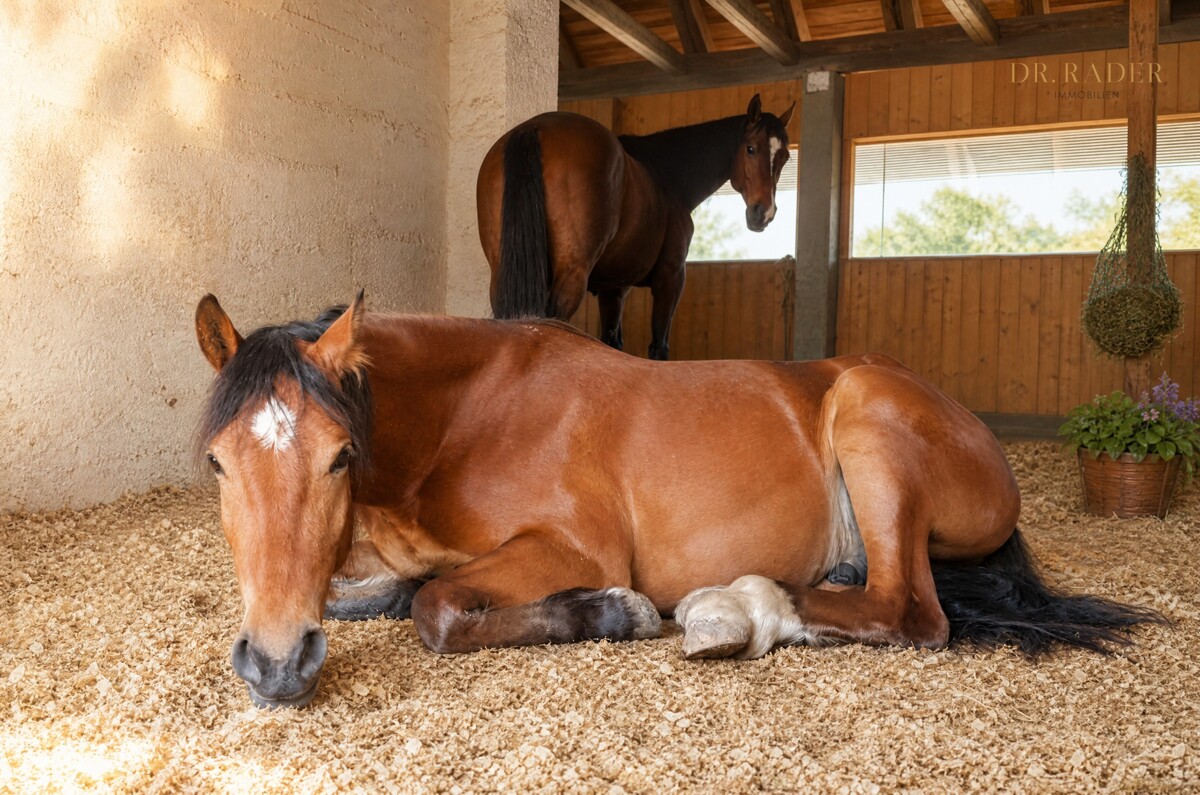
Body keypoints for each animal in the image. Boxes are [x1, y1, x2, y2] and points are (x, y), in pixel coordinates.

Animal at [194, 294, 1164, 708]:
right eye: (216, 464)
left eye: (340, 456)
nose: (276, 666)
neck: (464, 416)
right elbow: (385, 595)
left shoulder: (568, 550)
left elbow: (434, 610)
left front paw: (611, 612)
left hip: (867, 417)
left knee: (909, 612)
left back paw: (742, 608)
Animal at [476, 94, 794, 360]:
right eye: (751, 149)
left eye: (785, 157)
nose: (764, 213)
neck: (668, 176)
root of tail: (535, 128)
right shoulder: (670, 280)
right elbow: (658, 347)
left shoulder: (614, 289)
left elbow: (612, 342)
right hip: (571, 277)